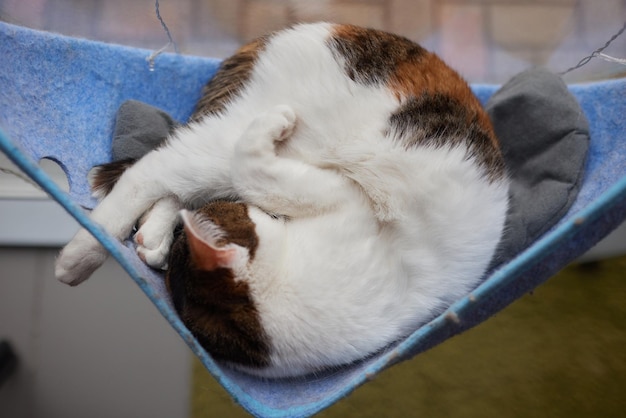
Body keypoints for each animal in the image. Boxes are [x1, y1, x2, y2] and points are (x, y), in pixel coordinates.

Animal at [56, 22, 510, 378]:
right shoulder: (344, 195)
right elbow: (253, 171)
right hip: (253, 135)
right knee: (151, 169)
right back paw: (80, 255)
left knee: (174, 179)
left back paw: (152, 235)